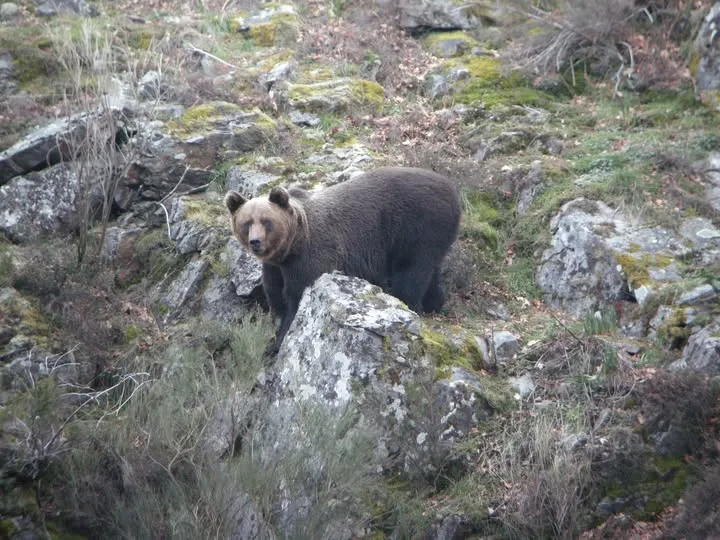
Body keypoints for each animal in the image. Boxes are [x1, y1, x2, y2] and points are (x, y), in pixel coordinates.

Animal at [224, 166, 461, 352]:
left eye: (266, 221)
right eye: (246, 222)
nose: (255, 242)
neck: (292, 246)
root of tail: (453, 189)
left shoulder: (310, 259)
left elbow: (297, 300)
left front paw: (280, 340)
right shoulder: (274, 267)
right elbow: (276, 297)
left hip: (417, 227)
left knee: (411, 274)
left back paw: (410, 304)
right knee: (430, 271)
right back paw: (434, 303)